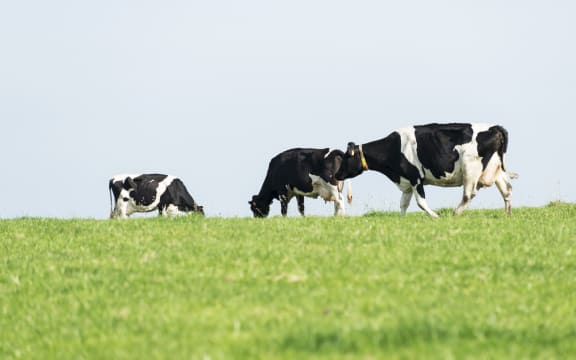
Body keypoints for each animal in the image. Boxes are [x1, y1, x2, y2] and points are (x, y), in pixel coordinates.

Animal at [332, 123, 516, 217]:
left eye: (346, 158)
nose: (336, 174)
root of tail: (493, 128)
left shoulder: (415, 177)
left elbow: (420, 202)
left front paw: (436, 216)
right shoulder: (406, 181)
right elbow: (403, 204)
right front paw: (402, 220)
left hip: (471, 168)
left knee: (468, 194)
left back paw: (455, 214)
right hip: (495, 168)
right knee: (507, 190)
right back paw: (507, 215)